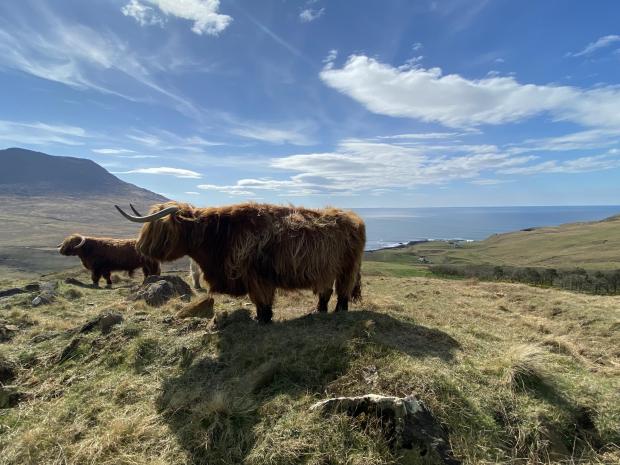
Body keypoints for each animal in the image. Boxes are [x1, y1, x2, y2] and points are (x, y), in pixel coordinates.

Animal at [115, 201, 366, 324]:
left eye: (158, 227)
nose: (140, 248)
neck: (217, 235)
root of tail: (355, 218)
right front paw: (261, 317)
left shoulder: (256, 275)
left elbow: (261, 300)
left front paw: (262, 319)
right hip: (326, 268)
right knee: (325, 290)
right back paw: (320, 311)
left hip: (348, 266)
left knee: (342, 290)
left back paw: (339, 311)